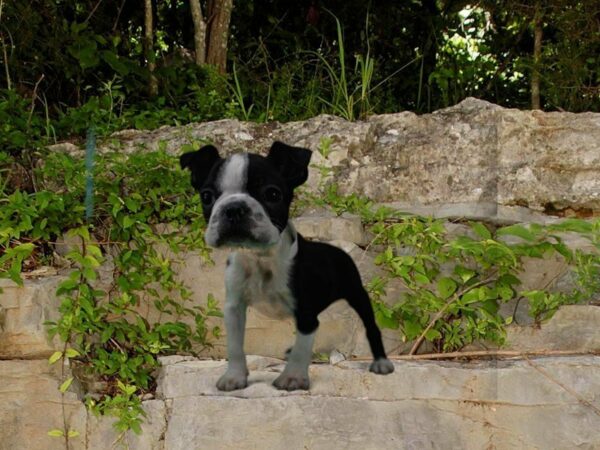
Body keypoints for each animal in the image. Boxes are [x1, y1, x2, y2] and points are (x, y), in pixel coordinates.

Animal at [178, 142, 394, 390]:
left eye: (272, 194)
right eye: (206, 196)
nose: (233, 209)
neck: (261, 258)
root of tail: (341, 250)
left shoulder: (305, 310)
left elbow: (303, 345)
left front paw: (293, 377)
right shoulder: (234, 307)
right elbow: (235, 346)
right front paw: (234, 377)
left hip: (357, 294)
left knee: (370, 326)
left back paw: (381, 364)